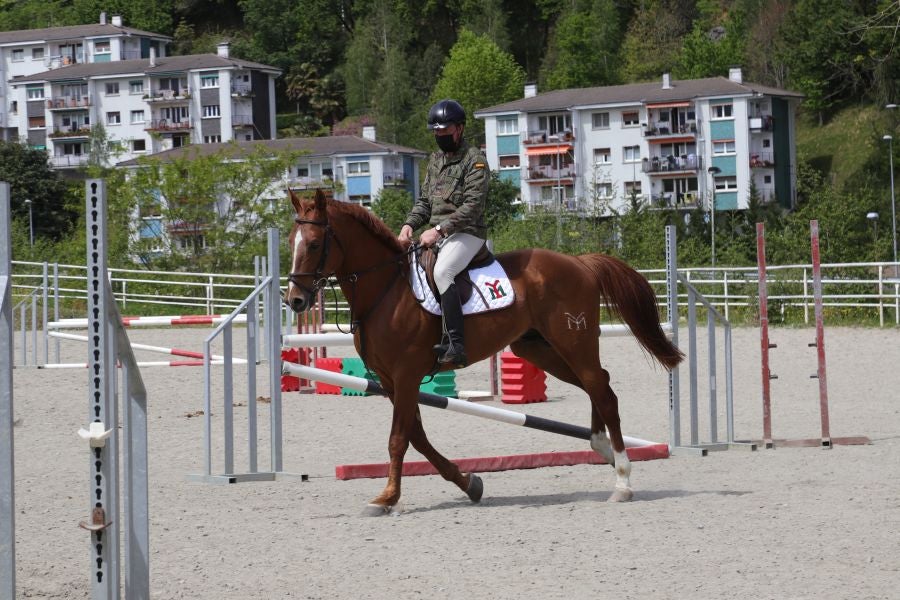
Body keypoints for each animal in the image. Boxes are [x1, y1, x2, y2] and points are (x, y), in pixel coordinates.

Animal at [284, 190, 680, 512]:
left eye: (315, 244)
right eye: (291, 241)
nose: (296, 300)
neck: (386, 289)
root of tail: (579, 262)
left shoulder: (406, 376)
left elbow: (399, 439)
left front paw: (387, 497)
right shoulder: (389, 381)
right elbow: (417, 438)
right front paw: (469, 483)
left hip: (574, 342)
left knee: (601, 389)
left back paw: (623, 480)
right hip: (539, 349)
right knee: (599, 384)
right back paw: (602, 448)